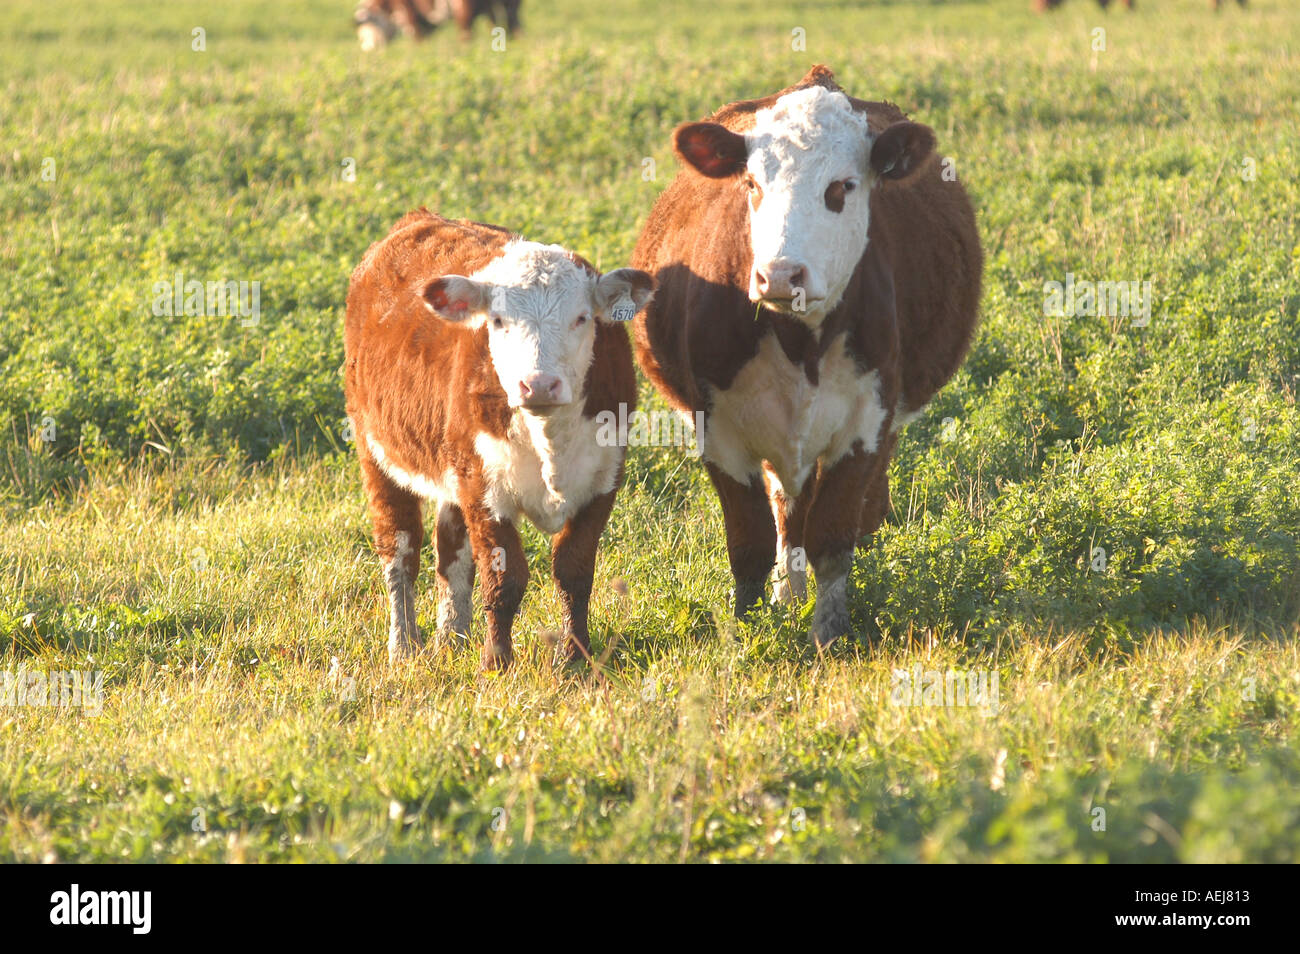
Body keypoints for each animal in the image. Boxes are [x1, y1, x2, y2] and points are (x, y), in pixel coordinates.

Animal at [344, 210, 653, 669]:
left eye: (582, 317)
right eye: (499, 321)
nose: (538, 384)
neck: (550, 443)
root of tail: (420, 217)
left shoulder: (603, 480)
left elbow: (574, 572)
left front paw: (575, 658)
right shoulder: (483, 489)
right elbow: (503, 577)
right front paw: (496, 663)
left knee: (450, 556)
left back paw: (452, 637)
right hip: (376, 452)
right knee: (400, 550)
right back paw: (404, 646)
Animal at [632, 65, 982, 649]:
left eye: (842, 186)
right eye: (752, 184)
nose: (779, 274)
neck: (800, 343)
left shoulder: (868, 421)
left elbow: (833, 536)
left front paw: (830, 633)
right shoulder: (718, 431)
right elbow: (749, 542)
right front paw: (746, 631)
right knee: (785, 510)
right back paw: (786, 594)